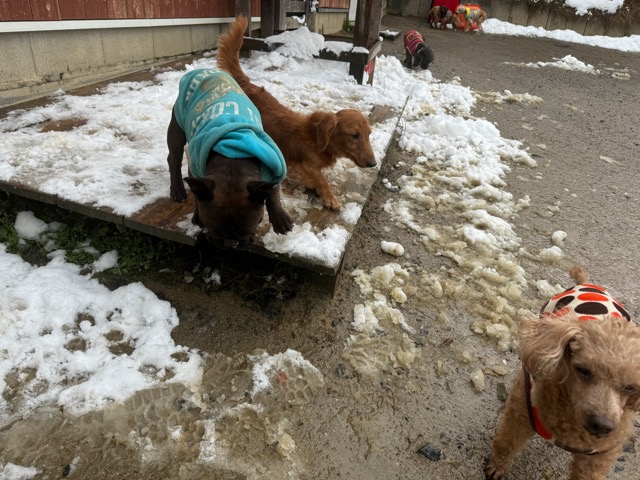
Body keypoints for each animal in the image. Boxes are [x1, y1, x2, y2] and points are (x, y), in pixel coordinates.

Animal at [167, 68, 292, 249]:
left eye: (249, 230)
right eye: (213, 229)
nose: (230, 244)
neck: (233, 159)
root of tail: (202, 70)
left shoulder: (274, 165)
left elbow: (273, 193)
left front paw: (279, 218)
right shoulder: (196, 169)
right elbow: (198, 196)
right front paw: (198, 215)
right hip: (177, 125)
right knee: (174, 159)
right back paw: (177, 189)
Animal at [216, 15, 377, 211]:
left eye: (369, 134)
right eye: (354, 135)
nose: (373, 163)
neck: (317, 138)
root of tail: (248, 85)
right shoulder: (306, 164)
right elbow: (321, 180)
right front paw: (330, 197)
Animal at [485, 266, 640, 480]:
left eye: (630, 388)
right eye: (582, 370)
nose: (601, 426)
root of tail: (589, 283)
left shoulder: (600, 454)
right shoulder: (522, 411)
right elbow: (509, 440)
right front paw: (497, 466)